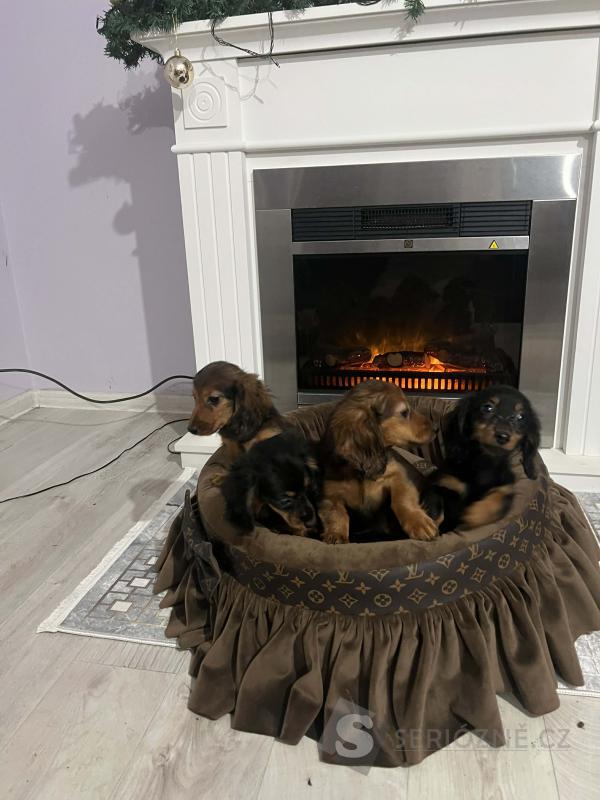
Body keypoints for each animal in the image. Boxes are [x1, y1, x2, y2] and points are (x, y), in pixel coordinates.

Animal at [318, 381, 439, 545]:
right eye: (404, 412)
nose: (436, 428)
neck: (360, 473)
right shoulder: (330, 493)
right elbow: (336, 512)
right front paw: (335, 534)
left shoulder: (399, 475)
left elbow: (402, 499)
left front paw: (419, 523)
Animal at [428, 385, 541, 530]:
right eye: (487, 408)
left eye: (520, 416)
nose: (503, 436)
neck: (485, 462)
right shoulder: (442, 481)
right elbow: (434, 506)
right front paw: (426, 527)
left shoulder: (506, 488)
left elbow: (500, 502)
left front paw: (474, 515)